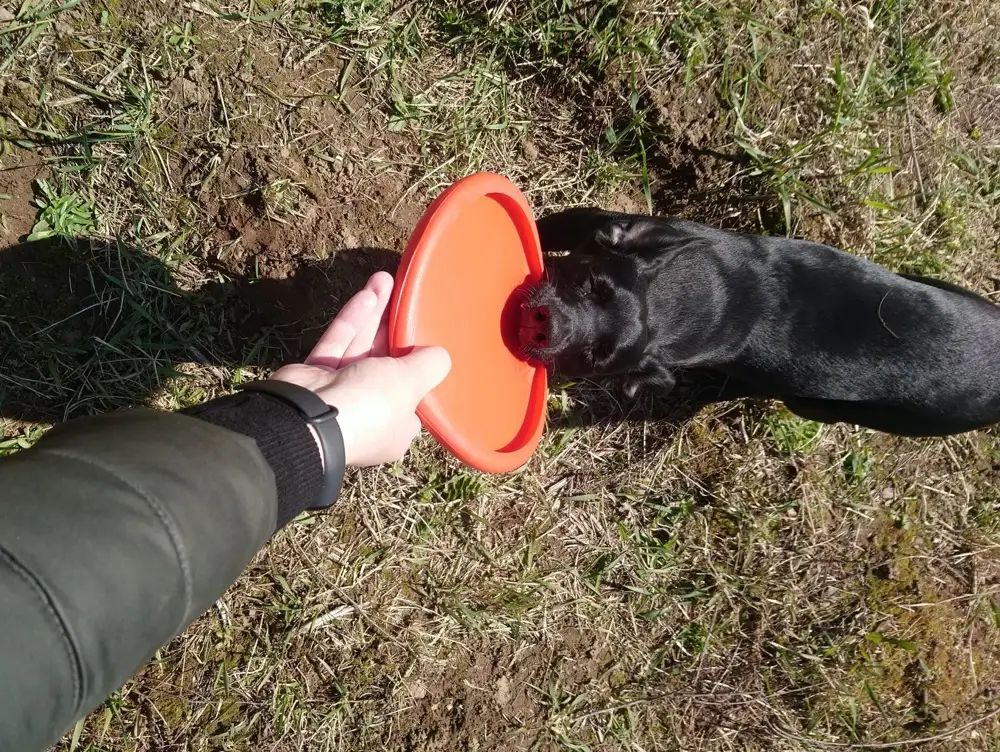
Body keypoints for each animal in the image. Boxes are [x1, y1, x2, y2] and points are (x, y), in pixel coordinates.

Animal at [520, 209, 1000, 438]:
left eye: (595, 357)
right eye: (590, 282)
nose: (548, 325)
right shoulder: (597, 224)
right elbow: (548, 227)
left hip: (821, 407)